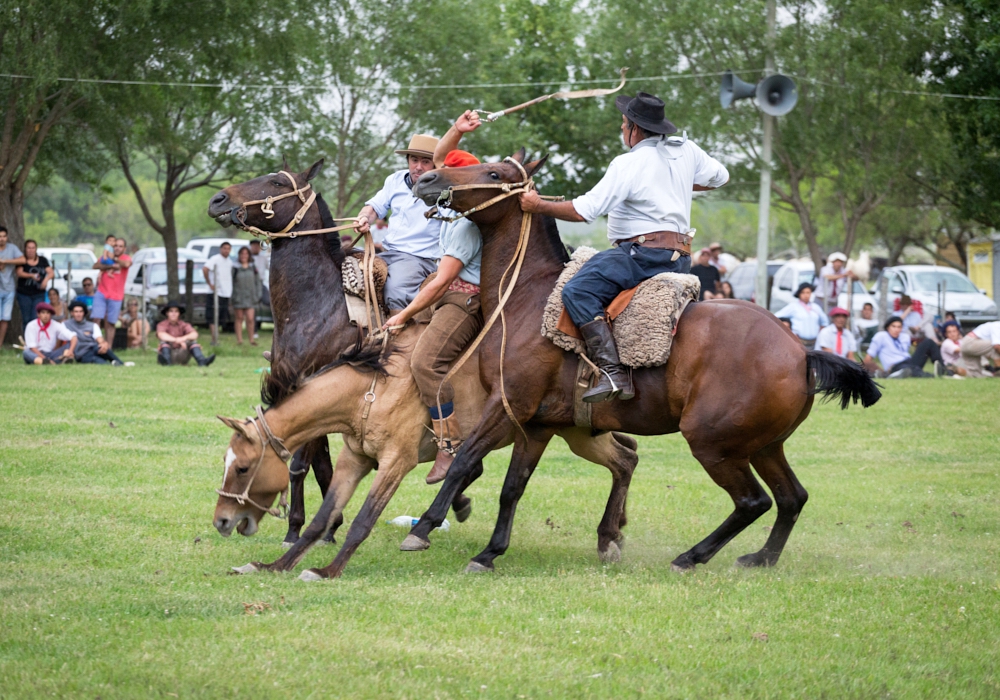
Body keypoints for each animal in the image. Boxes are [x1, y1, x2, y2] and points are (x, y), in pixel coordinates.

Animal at [400, 152, 884, 576]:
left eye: (495, 172)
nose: (428, 180)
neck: (525, 296)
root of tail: (801, 351)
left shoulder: (508, 404)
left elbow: (464, 459)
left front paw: (424, 528)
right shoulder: (535, 424)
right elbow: (512, 487)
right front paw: (489, 552)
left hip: (714, 444)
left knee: (753, 502)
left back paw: (691, 557)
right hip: (765, 445)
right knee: (791, 498)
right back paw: (760, 558)